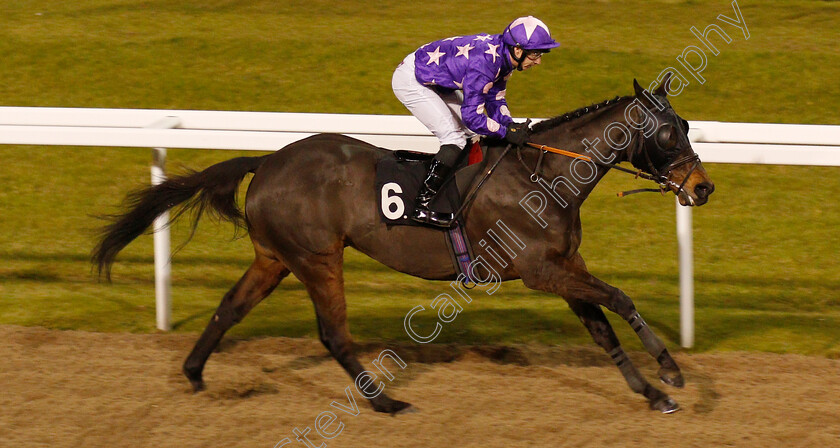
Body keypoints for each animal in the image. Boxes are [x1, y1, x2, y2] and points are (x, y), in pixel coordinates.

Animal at [97, 76, 716, 412]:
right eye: (666, 132)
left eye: (687, 124)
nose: (702, 187)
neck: (545, 175)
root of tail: (268, 160)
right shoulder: (541, 269)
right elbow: (621, 299)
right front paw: (671, 372)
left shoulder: (563, 265)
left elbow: (602, 328)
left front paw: (652, 393)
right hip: (317, 258)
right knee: (333, 334)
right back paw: (384, 401)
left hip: (274, 258)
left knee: (229, 309)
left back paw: (195, 373)